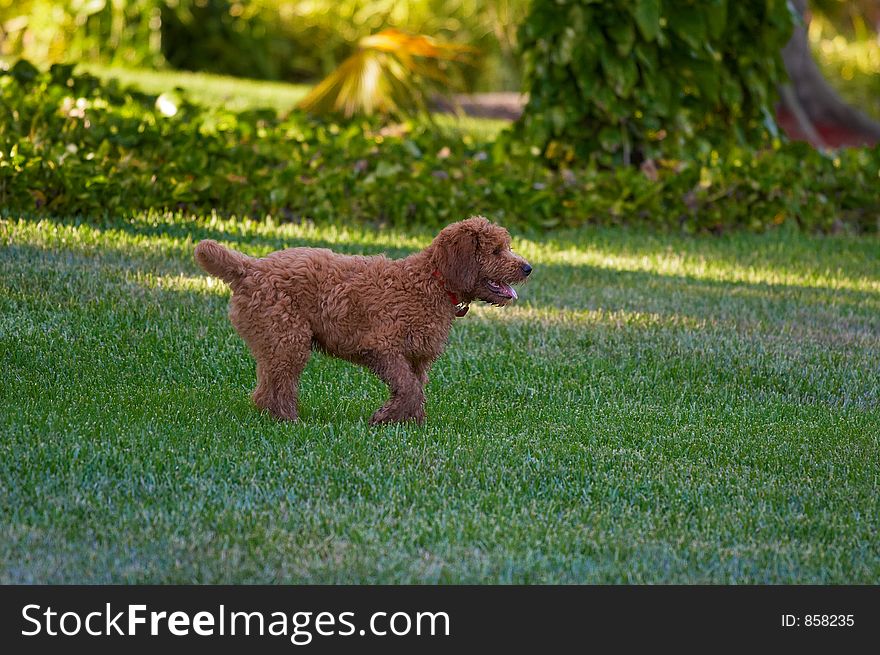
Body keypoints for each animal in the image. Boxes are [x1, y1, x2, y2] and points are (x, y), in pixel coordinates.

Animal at [196, 218, 532, 426]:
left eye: (507, 247)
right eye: (496, 250)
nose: (528, 268)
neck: (431, 281)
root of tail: (249, 267)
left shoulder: (417, 358)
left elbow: (415, 389)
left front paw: (409, 423)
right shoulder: (382, 348)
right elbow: (409, 388)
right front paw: (385, 418)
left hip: (277, 340)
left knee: (267, 384)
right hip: (288, 337)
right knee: (276, 386)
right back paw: (289, 421)